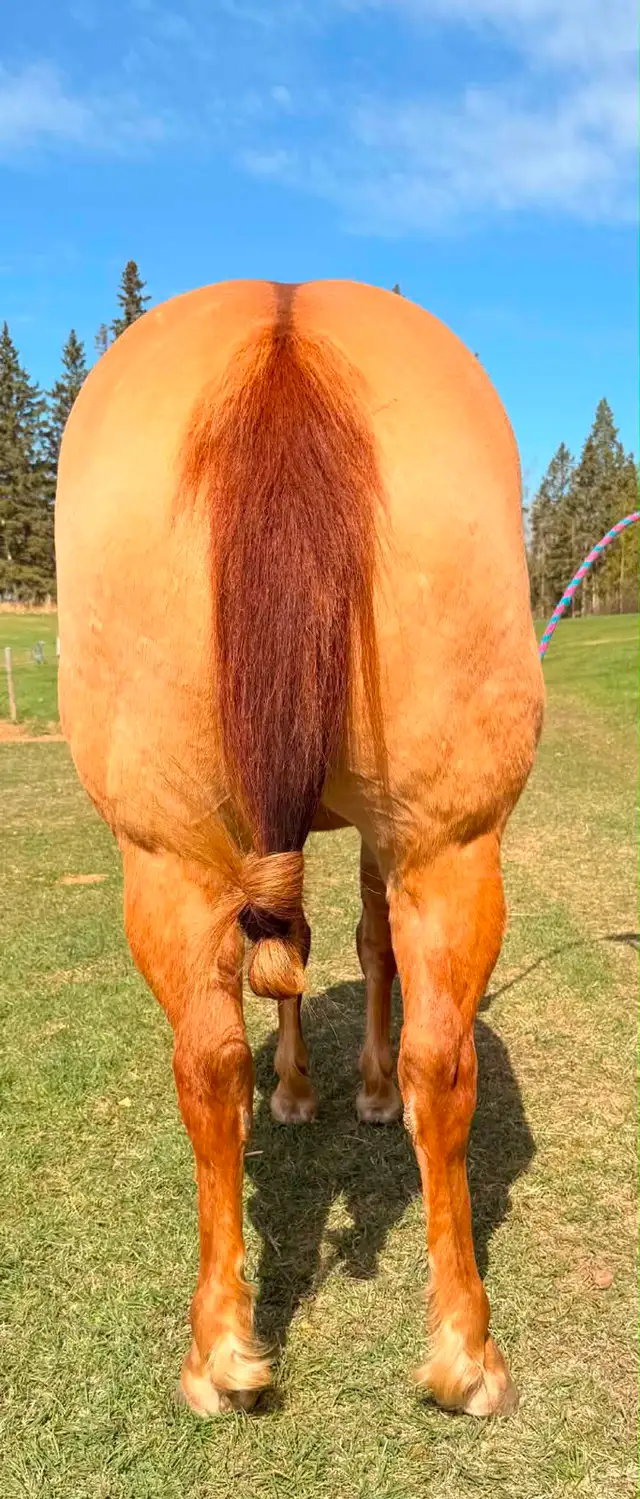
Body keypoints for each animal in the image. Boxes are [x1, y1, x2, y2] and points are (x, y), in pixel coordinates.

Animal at [55, 279, 543, 1419]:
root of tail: (285, 338)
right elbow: (348, 947)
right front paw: (332, 1092)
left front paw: (310, 1092)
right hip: (443, 843)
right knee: (432, 1059)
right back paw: (459, 1354)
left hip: (175, 850)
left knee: (210, 1059)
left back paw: (227, 1354)